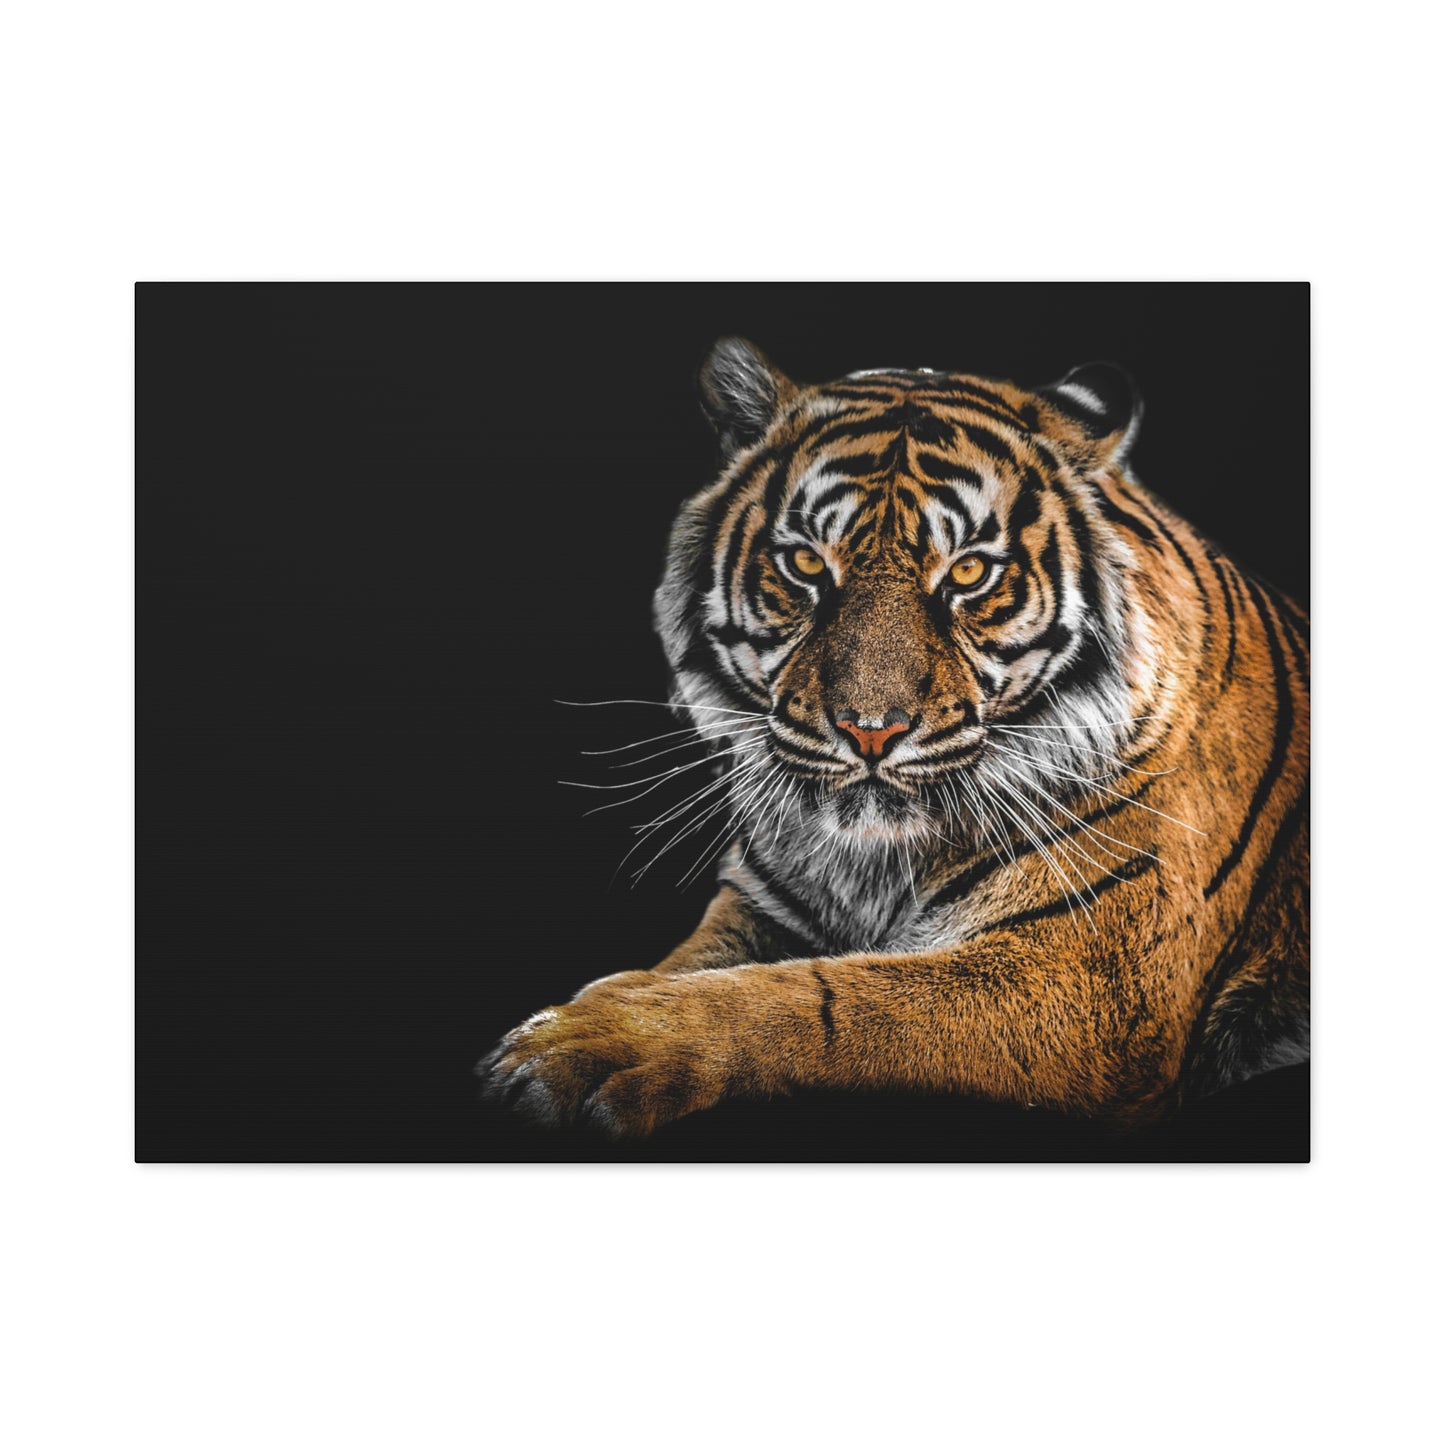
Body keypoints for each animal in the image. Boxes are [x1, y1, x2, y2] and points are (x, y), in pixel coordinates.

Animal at [477, 337, 1310, 1140]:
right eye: (804, 562)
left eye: (969, 573)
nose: (868, 731)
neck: (871, 863)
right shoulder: (759, 907)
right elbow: (688, 964)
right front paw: (588, 1008)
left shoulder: (1088, 979)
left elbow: (824, 995)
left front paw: (586, 1043)